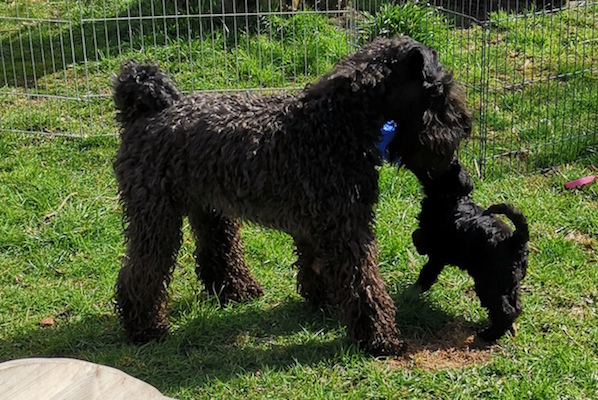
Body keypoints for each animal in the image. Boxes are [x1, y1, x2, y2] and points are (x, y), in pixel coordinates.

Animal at [412, 159, 528, 340]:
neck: (452, 197)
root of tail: (515, 240)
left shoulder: (436, 249)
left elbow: (423, 250)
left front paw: (414, 290)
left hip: (489, 282)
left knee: (505, 310)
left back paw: (489, 334)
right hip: (509, 281)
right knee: (516, 306)